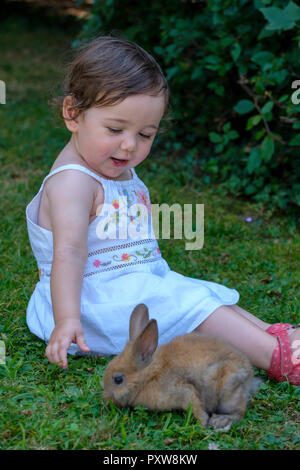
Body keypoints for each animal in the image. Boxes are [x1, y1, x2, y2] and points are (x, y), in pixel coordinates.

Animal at [102, 302, 260, 432]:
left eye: (118, 380)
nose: (106, 399)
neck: (149, 375)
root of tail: (250, 377)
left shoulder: (183, 390)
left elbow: (195, 406)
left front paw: (203, 423)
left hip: (228, 390)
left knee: (238, 412)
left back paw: (219, 420)